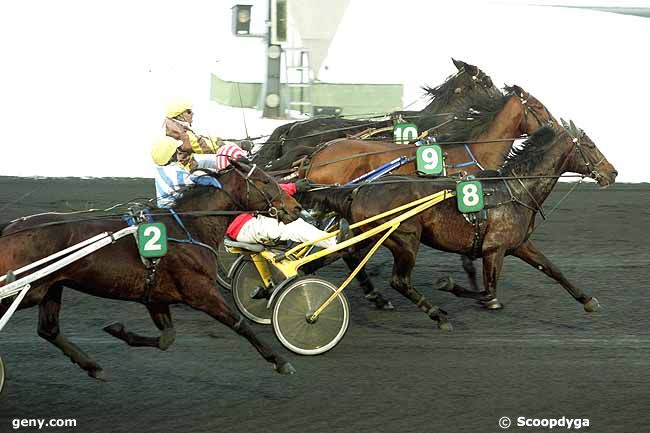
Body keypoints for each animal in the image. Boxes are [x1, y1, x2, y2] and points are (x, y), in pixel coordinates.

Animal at [0, 160, 302, 380]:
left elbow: (167, 338)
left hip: (51, 286)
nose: (296, 207)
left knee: (49, 329)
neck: (188, 228)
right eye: (265, 180)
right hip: (29, 289)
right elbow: (240, 324)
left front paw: (118, 330)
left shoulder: (155, 296)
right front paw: (280, 361)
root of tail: (12, 227)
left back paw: (92, 366)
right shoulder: (200, 292)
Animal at [300, 123, 616, 330]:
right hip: (404, 238)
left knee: (339, 254)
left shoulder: (518, 245)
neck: (514, 190)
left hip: (367, 233)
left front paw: (588, 300)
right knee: (399, 280)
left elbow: (553, 270)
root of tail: (358, 190)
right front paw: (451, 286)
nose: (612, 172)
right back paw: (436, 315)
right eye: (590, 146)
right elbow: (488, 291)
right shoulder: (493, 249)